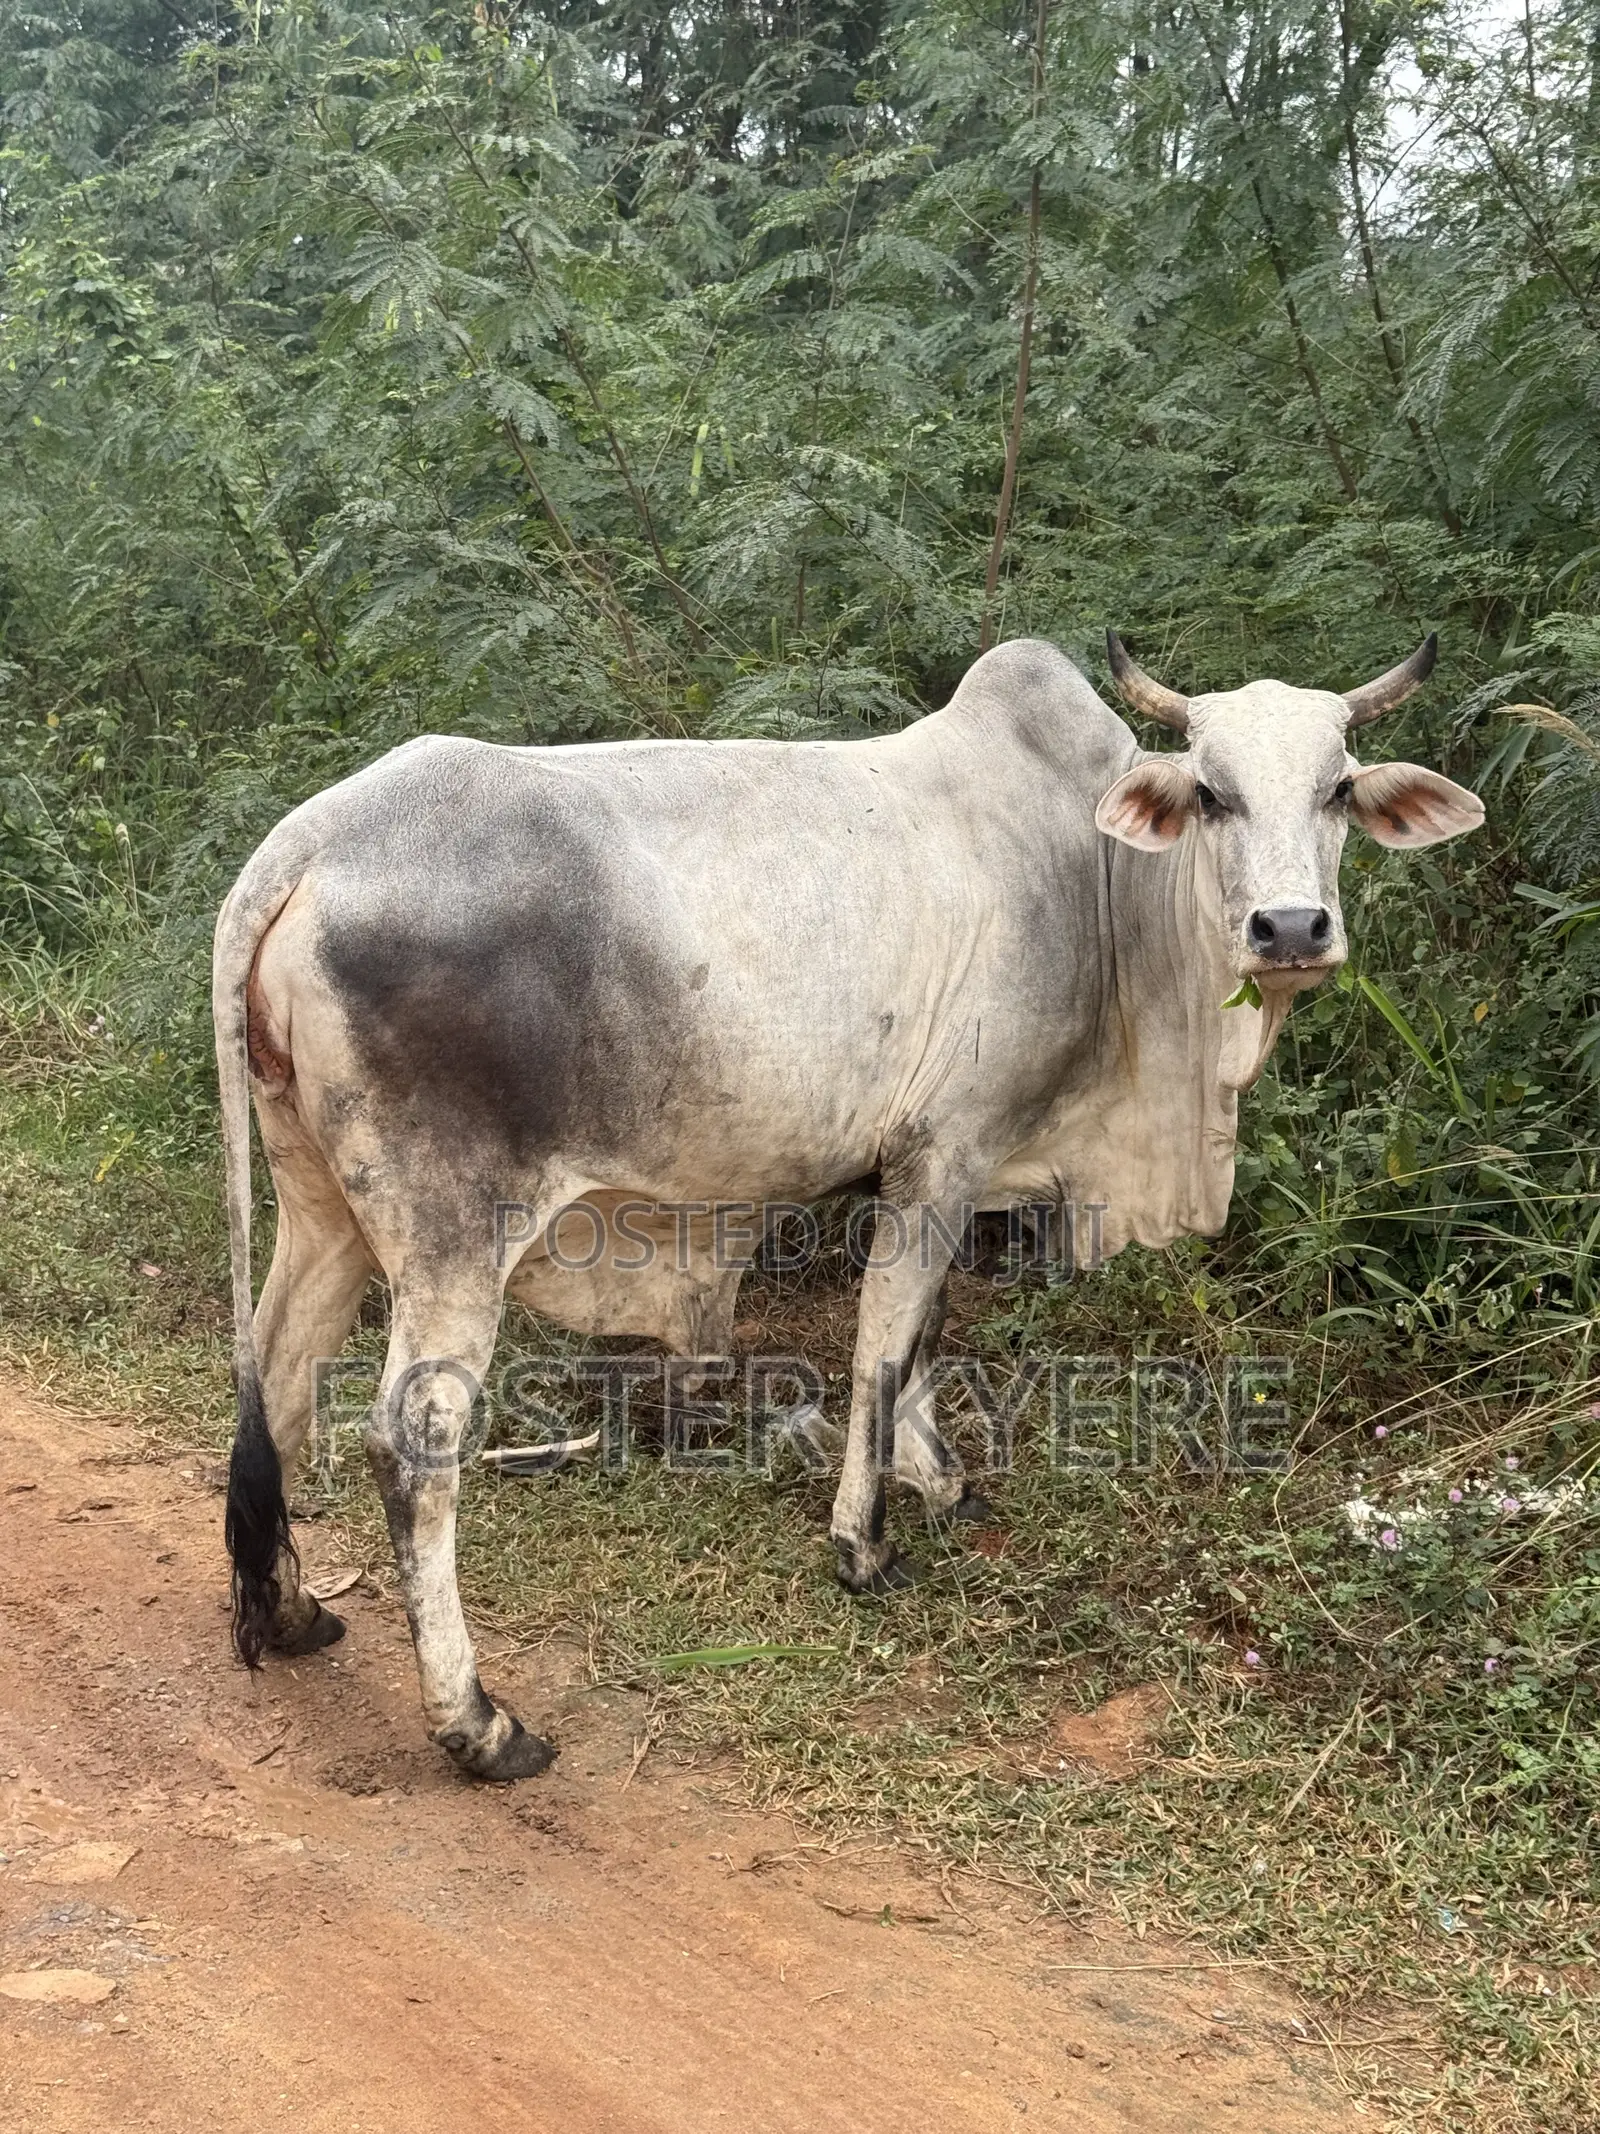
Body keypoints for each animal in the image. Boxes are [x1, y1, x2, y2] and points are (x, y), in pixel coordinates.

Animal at [218, 632, 1482, 1779]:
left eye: (1336, 787)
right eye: (1212, 792)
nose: (1290, 929)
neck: (1097, 882)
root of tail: (310, 840)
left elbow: (920, 1339)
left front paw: (941, 1483)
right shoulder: (945, 1154)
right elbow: (884, 1342)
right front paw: (863, 1545)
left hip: (322, 1203)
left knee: (276, 1372)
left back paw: (288, 1613)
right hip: (451, 1232)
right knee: (410, 1444)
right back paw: (478, 1723)